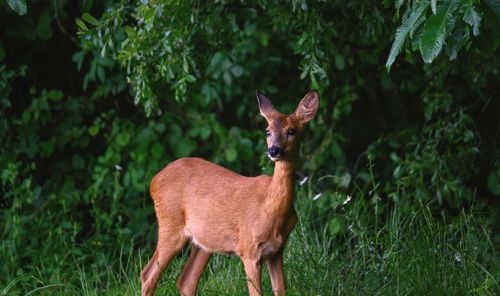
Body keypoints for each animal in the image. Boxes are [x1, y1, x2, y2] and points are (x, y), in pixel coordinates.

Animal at [141, 90, 320, 296]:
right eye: (268, 131)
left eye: (292, 131)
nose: (273, 150)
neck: (270, 209)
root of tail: (154, 180)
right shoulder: (249, 250)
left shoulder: (277, 251)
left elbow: (280, 290)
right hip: (171, 224)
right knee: (148, 274)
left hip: (204, 241)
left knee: (186, 281)